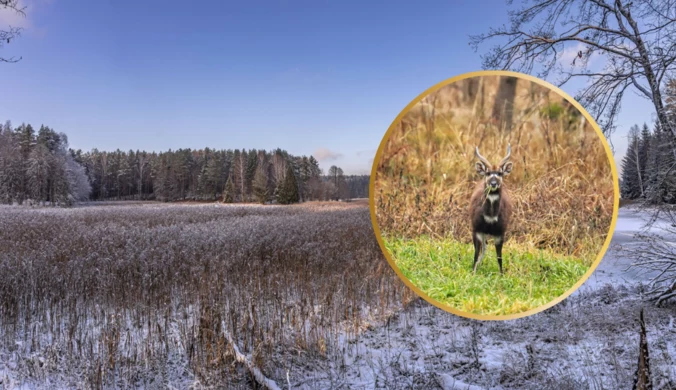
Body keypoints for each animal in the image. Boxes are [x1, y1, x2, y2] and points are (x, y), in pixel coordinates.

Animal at [468, 143, 516, 274]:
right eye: (488, 173)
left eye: (500, 173)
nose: (493, 183)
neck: (490, 217)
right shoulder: (476, 229)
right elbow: (475, 254)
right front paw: (473, 273)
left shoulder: (500, 232)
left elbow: (499, 257)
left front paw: (501, 274)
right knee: (483, 248)